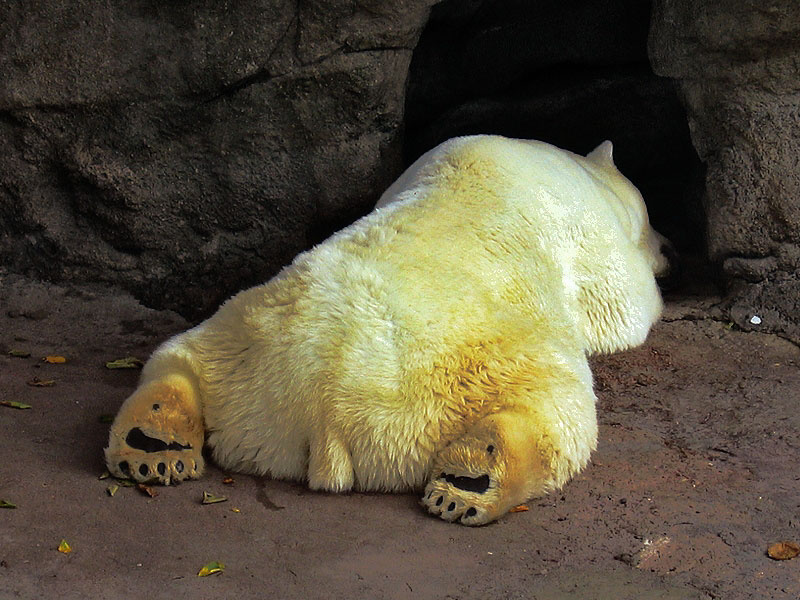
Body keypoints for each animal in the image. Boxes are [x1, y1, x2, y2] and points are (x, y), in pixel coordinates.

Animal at [104, 135, 671, 525]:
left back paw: (153, 441)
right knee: (558, 406)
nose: (671, 246)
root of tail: (320, 404)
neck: (578, 170)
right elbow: (627, 305)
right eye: (651, 217)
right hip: (468, 366)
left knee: (182, 355)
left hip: (246, 332)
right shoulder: (592, 245)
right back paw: (473, 479)